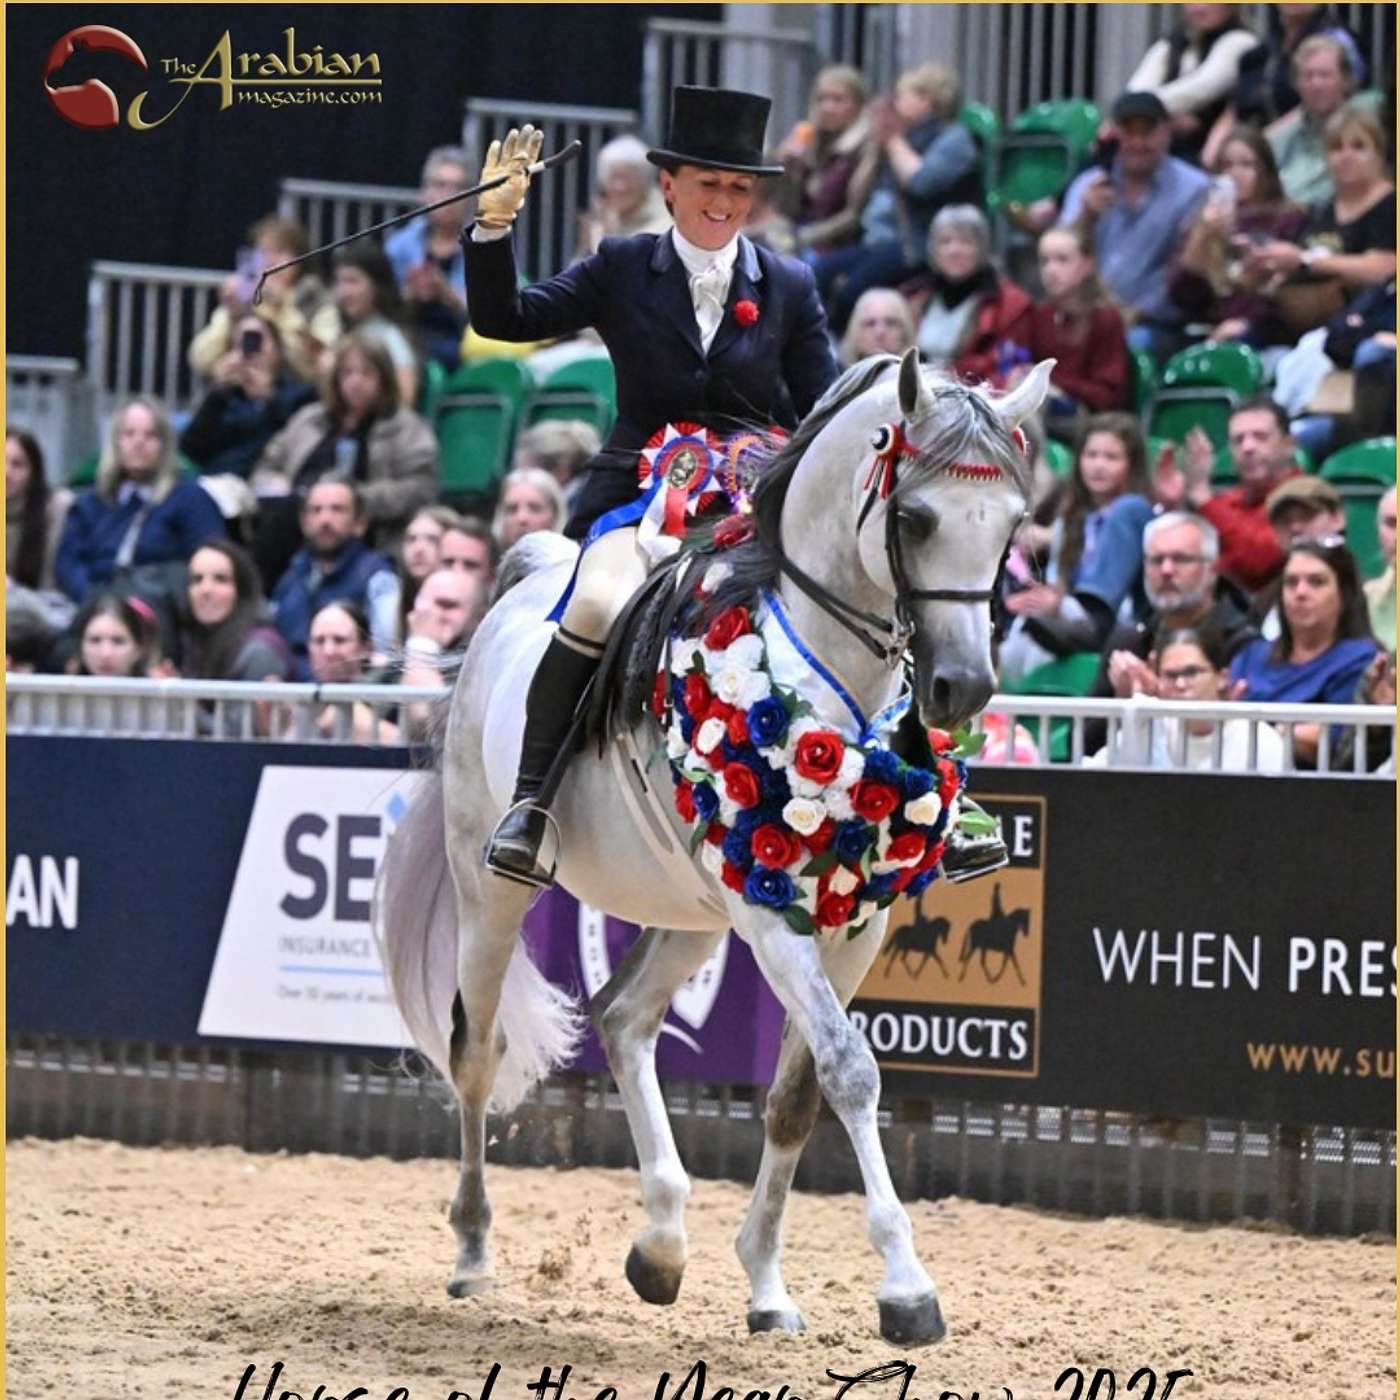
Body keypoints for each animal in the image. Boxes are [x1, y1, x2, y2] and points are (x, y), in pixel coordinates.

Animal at [375, 348, 1052, 1346]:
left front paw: (767, 1285)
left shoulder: (855, 922)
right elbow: (851, 1070)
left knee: (622, 1016)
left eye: (1011, 524)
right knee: (477, 1050)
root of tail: (530, 581)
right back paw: (472, 1251)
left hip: (693, 910)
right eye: (916, 518)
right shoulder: (769, 913)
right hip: (492, 891)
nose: (962, 689)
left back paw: (661, 1244)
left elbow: (801, 1095)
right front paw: (906, 1286)